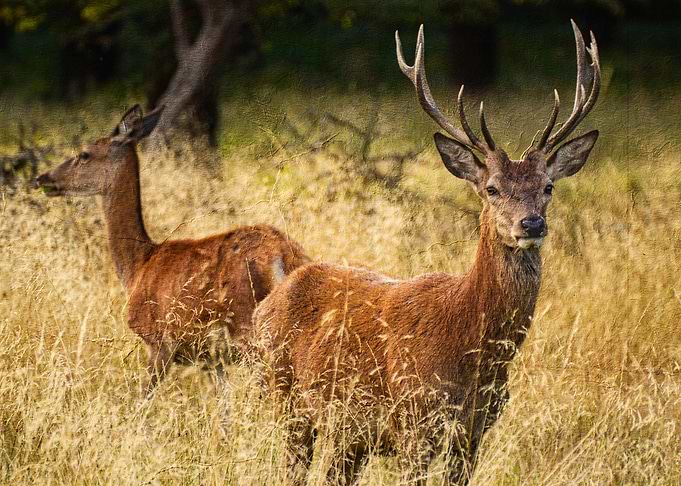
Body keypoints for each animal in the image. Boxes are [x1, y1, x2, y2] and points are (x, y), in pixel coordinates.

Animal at [34, 105, 309, 395]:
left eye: (84, 154)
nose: (42, 178)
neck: (138, 266)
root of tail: (281, 256)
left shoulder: (159, 340)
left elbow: (143, 397)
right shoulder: (211, 358)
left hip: (247, 327)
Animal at [253, 21, 601, 485]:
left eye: (548, 186)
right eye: (492, 188)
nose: (531, 224)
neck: (473, 350)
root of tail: (269, 300)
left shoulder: (474, 432)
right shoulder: (414, 421)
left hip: (347, 434)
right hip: (284, 399)